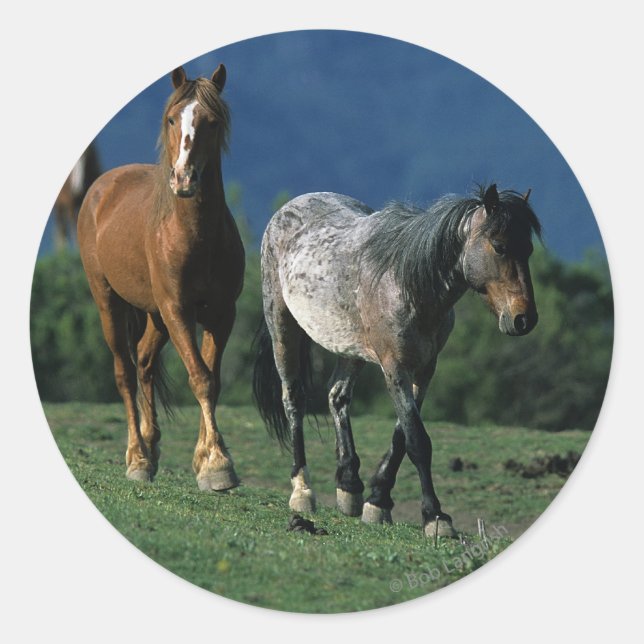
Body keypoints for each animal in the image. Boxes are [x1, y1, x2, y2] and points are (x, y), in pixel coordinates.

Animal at [78, 65, 244, 490]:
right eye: (172, 119)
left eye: (212, 121)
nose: (184, 178)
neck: (194, 234)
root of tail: (100, 188)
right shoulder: (178, 309)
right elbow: (200, 377)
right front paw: (218, 465)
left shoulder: (221, 313)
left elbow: (213, 380)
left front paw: (206, 460)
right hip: (109, 302)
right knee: (124, 371)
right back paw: (137, 456)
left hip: (155, 316)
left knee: (144, 361)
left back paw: (150, 449)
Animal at [253, 185, 541, 537]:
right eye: (499, 246)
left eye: (528, 249)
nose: (524, 319)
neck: (407, 283)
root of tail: (290, 207)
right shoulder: (395, 367)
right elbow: (417, 440)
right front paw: (435, 516)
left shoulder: (425, 369)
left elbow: (401, 437)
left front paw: (377, 501)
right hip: (282, 327)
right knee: (293, 399)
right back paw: (302, 492)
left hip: (349, 347)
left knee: (337, 395)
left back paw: (349, 485)